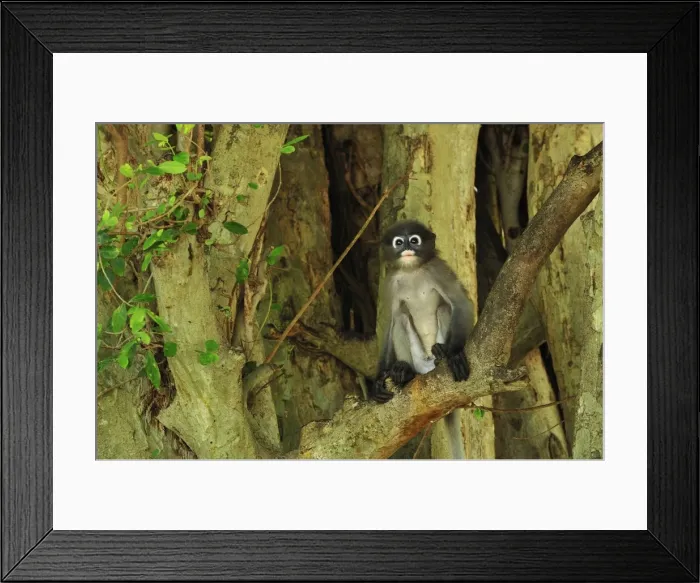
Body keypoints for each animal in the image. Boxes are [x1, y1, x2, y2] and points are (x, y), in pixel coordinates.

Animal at [369, 220, 475, 458]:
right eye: (399, 242)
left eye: (414, 240)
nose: (408, 247)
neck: (412, 271)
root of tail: (427, 368)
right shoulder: (391, 282)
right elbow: (390, 323)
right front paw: (379, 379)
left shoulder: (437, 268)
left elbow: (461, 303)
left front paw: (455, 353)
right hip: (418, 359)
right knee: (401, 317)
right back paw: (404, 371)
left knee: (444, 308)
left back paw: (442, 353)